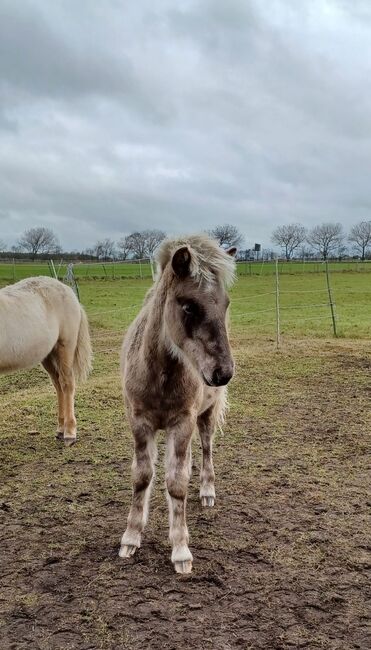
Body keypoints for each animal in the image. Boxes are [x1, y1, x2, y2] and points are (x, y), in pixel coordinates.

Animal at [0, 274, 92, 446]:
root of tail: (67, 290)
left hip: (65, 346)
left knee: (67, 384)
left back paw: (69, 433)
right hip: (48, 355)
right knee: (58, 385)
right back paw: (60, 430)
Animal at [120, 233, 235, 572]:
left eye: (225, 304)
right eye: (188, 306)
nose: (223, 373)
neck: (159, 373)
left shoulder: (182, 423)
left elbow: (177, 483)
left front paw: (181, 550)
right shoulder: (139, 422)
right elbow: (142, 476)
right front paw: (131, 537)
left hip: (204, 416)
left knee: (206, 448)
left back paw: (207, 492)